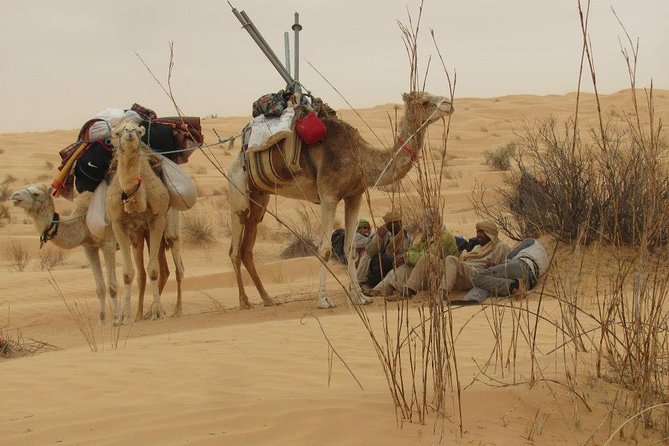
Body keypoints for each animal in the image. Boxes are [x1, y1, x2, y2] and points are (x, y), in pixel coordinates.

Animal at [105, 120, 171, 324]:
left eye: (138, 130)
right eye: (117, 132)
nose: (129, 133)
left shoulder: (158, 220)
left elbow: (154, 270)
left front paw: (158, 312)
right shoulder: (118, 224)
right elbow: (127, 273)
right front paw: (124, 318)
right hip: (136, 234)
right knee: (140, 271)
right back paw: (138, 314)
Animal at [228, 91, 454, 309]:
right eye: (424, 101)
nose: (448, 104)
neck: (361, 158)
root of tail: (239, 156)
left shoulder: (355, 196)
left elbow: (350, 249)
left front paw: (361, 298)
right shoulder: (329, 196)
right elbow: (325, 249)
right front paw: (323, 300)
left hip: (259, 197)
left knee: (248, 245)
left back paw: (267, 299)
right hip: (238, 191)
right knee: (235, 248)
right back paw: (243, 301)